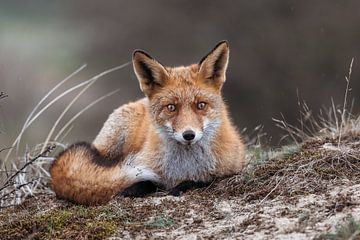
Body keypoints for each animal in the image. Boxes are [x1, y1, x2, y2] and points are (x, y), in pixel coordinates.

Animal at [49, 40, 246, 204]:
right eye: (171, 107)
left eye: (201, 105)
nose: (189, 135)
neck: (184, 167)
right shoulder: (142, 166)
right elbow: (145, 182)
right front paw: (133, 189)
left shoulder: (231, 169)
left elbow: (203, 180)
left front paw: (182, 186)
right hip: (113, 142)